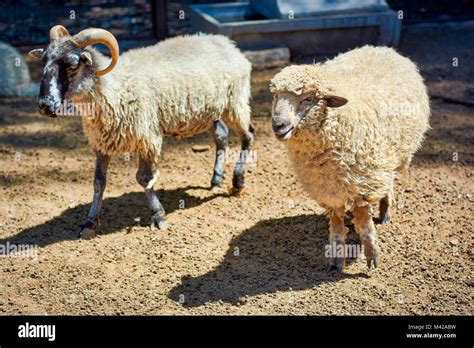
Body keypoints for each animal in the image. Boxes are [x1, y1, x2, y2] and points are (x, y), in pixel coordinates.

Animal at [29, 25, 256, 239]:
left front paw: (158, 216)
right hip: (210, 113)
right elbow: (98, 183)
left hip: (235, 102)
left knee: (248, 135)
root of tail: (227, 43)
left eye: (73, 65)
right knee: (221, 136)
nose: (45, 106)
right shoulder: (102, 144)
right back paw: (216, 180)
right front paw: (89, 223)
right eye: (44, 62)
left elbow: (144, 179)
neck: (115, 88)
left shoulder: (149, 139)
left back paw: (238, 183)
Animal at [270, 44, 430, 272]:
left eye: (308, 98)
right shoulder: (328, 190)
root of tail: (382, 48)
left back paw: (385, 212)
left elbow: (364, 225)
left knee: (389, 182)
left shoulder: (363, 185)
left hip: (390, 158)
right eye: (275, 96)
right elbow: (337, 227)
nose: (278, 125)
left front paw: (372, 256)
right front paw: (336, 260)